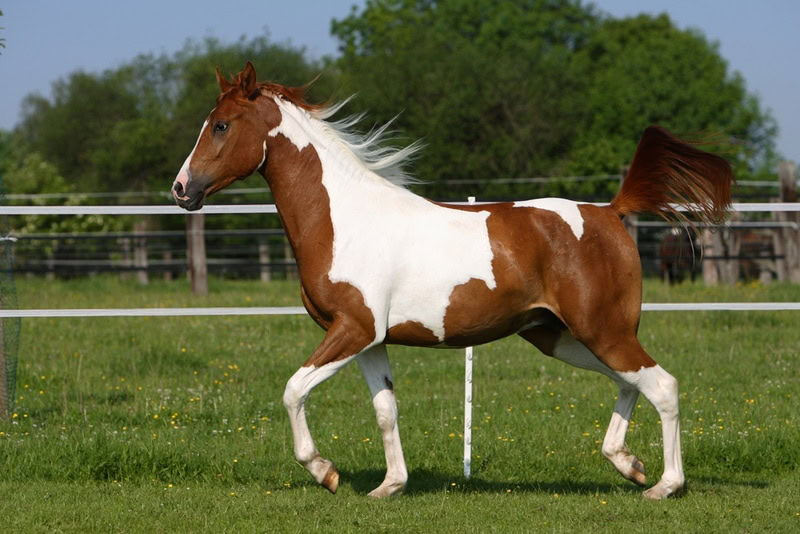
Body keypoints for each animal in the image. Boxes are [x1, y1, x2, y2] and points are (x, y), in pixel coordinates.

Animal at [171, 62, 733, 499]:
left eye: (221, 126)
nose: (181, 189)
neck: (343, 219)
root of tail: (610, 212)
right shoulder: (368, 340)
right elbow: (385, 410)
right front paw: (389, 486)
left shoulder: (352, 329)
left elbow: (292, 391)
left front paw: (325, 472)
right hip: (559, 335)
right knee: (630, 382)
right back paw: (628, 463)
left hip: (602, 330)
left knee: (661, 384)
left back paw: (664, 485)